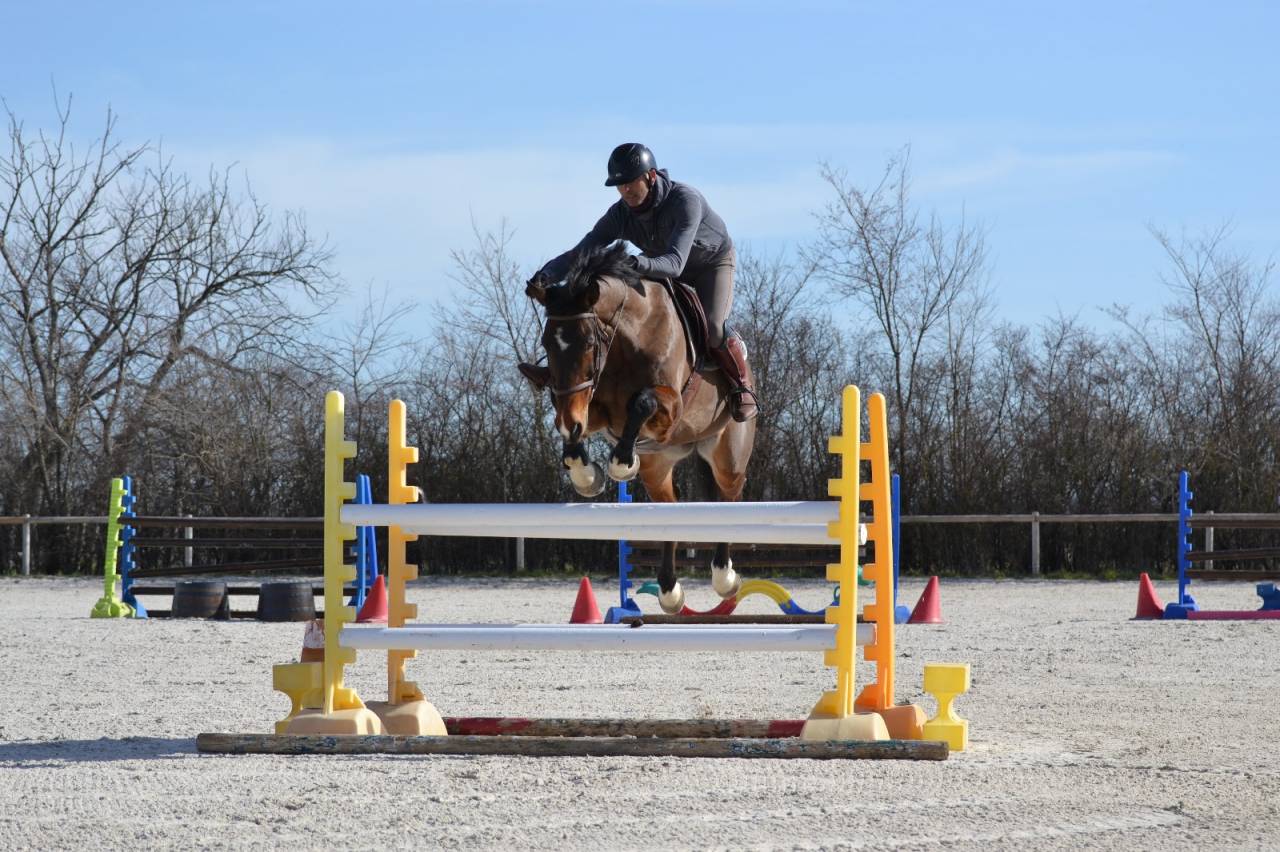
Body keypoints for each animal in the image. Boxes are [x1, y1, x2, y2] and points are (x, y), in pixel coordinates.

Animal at [521, 242, 757, 614]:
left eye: (589, 343)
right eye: (547, 343)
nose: (567, 421)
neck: (627, 337)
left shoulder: (670, 409)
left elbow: (642, 402)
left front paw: (620, 464)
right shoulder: (594, 407)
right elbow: (579, 433)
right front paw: (587, 475)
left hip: (727, 456)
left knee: (729, 496)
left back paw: (724, 577)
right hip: (658, 467)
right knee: (669, 507)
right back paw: (670, 589)